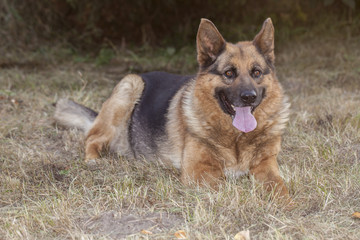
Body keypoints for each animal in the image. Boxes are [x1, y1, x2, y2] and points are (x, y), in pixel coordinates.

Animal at [54, 17, 292, 200]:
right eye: (229, 73)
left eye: (257, 72)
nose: (249, 97)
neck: (236, 138)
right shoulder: (198, 170)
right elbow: (225, 188)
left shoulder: (266, 164)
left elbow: (279, 186)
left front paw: (284, 203)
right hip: (130, 85)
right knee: (92, 137)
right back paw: (93, 160)